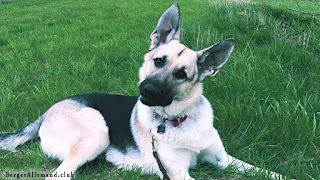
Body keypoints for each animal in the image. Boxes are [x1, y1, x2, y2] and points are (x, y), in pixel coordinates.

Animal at [0, 2, 284, 180]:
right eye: (158, 61)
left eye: (182, 74)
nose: (147, 90)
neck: (179, 120)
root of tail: (46, 113)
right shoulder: (177, 174)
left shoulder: (223, 159)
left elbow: (264, 171)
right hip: (97, 134)